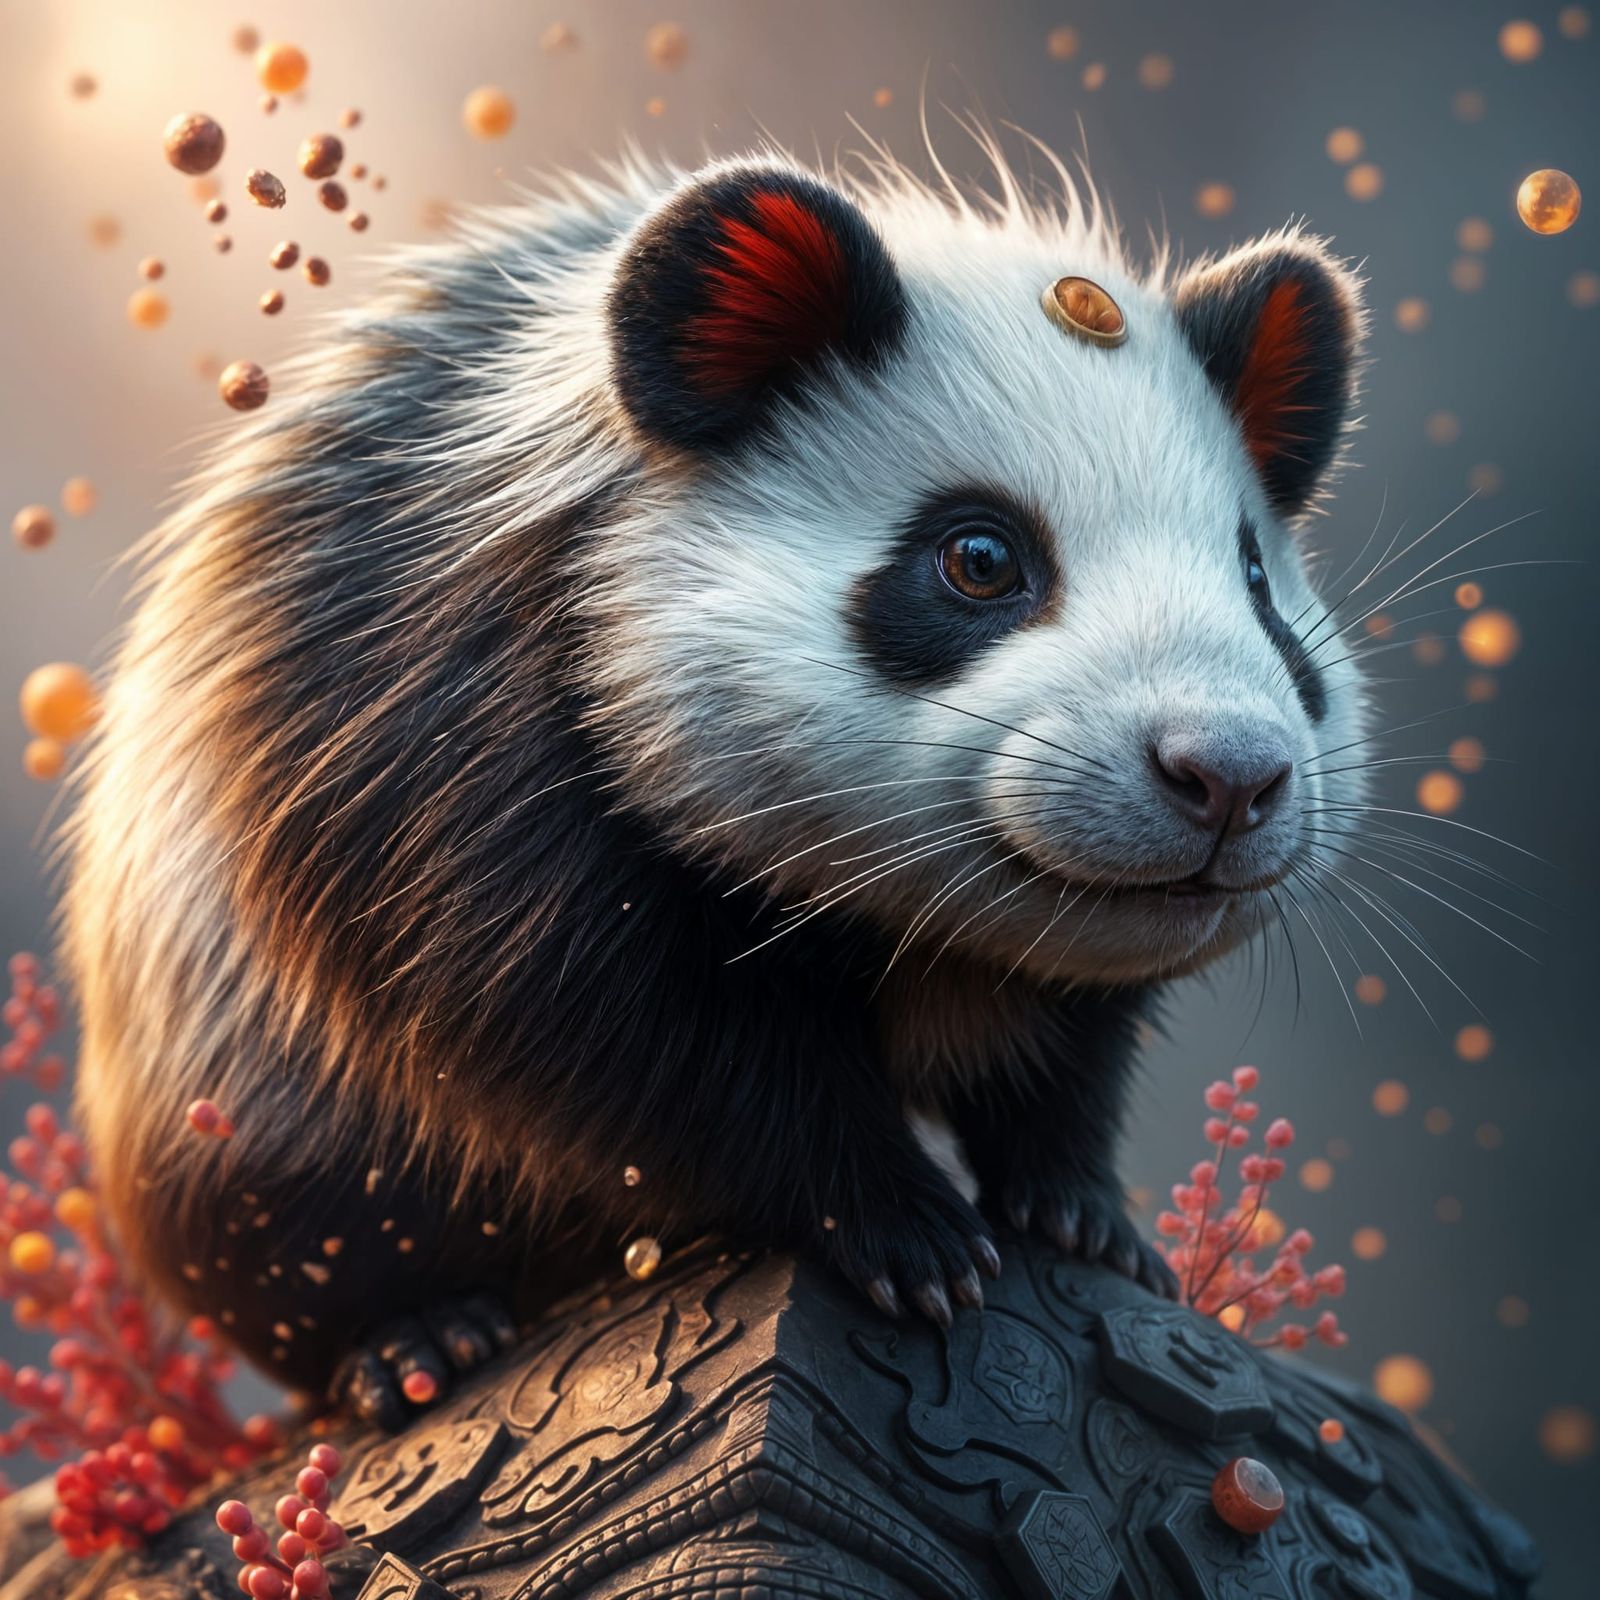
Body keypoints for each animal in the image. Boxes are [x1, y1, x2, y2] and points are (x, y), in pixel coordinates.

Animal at [63, 143, 1369, 1425]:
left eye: (1256, 578)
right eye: (979, 557)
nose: (1227, 777)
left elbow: (1066, 1048)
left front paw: (1080, 1210)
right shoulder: (442, 747)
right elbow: (600, 1027)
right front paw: (902, 1223)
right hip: (222, 1038)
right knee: (272, 1212)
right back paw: (411, 1337)